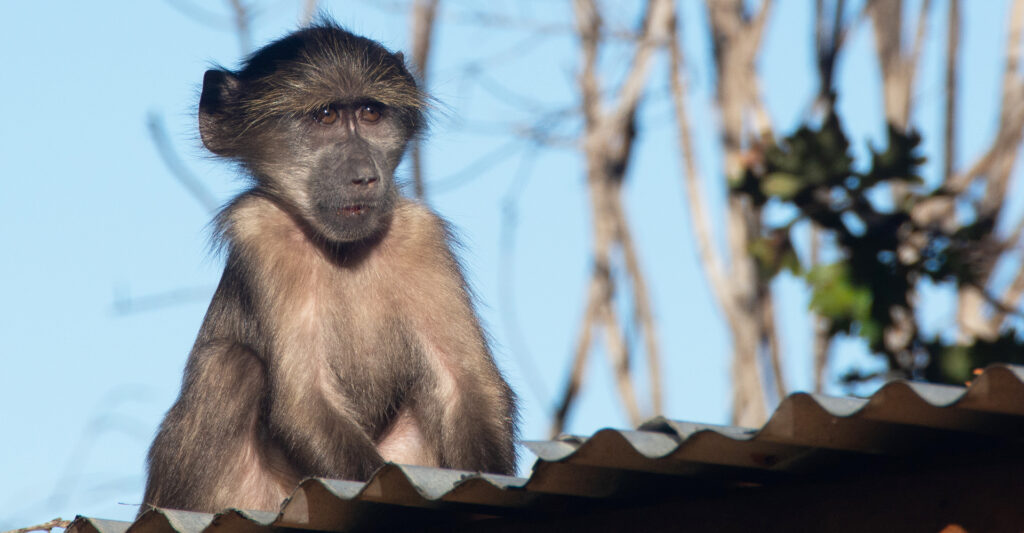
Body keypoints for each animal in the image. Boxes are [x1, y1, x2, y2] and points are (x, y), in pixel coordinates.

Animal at [141, 21, 518, 514]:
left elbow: (465, 389)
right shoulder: (261, 231)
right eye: (325, 116)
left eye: (371, 113)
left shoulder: (421, 237)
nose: (364, 176)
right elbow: (305, 403)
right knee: (230, 365)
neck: (345, 252)